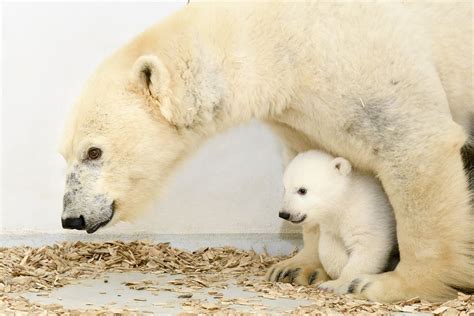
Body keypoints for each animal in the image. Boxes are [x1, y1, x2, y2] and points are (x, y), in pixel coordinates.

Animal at [61, 2, 472, 302]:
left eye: (94, 152)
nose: (71, 218)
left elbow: (417, 146)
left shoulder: (373, 68)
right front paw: (296, 266)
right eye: (64, 154)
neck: (283, 37)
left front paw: (388, 284)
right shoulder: (304, 107)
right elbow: (310, 158)